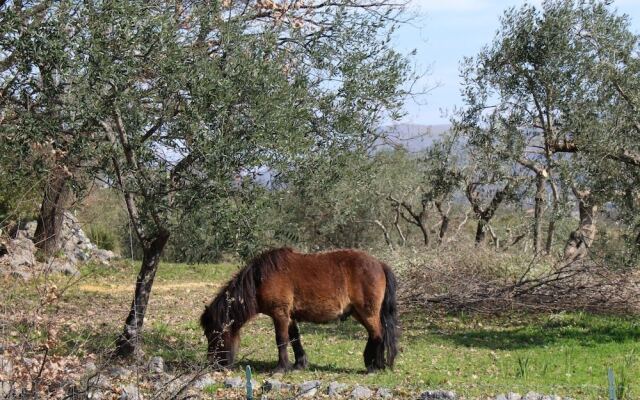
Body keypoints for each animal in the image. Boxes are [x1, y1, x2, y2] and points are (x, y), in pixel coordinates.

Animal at [200, 247, 400, 372]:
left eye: (213, 333)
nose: (214, 364)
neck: (260, 278)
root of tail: (380, 264)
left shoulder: (280, 315)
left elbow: (281, 340)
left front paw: (281, 367)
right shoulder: (290, 317)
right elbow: (295, 339)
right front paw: (299, 364)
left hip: (368, 312)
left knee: (378, 335)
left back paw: (375, 366)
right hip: (359, 313)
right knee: (374, 335)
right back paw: (371, 362)